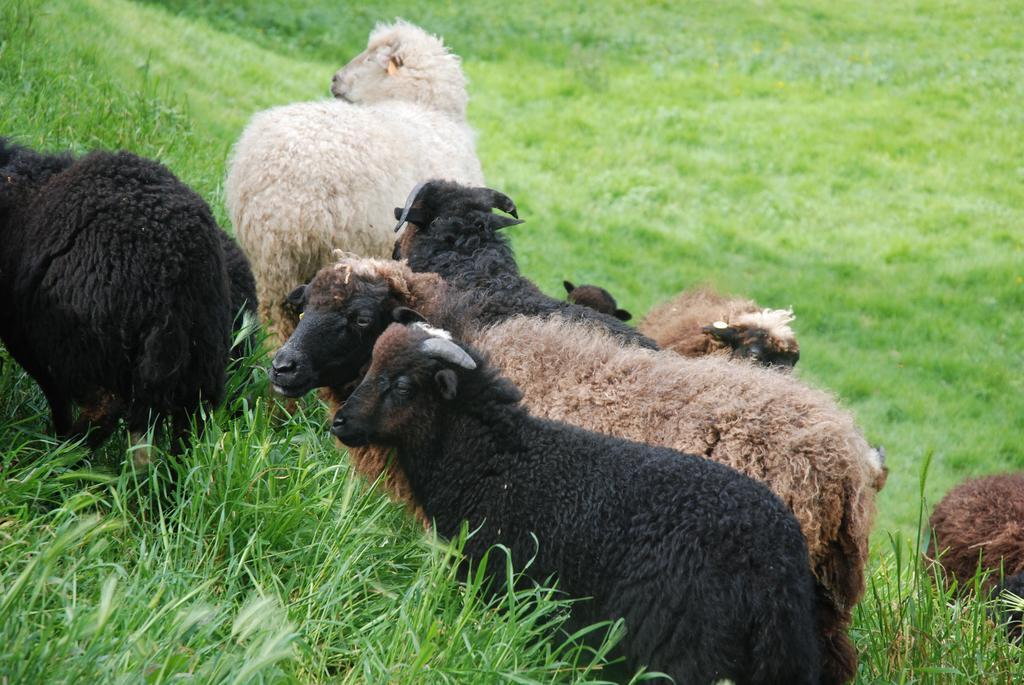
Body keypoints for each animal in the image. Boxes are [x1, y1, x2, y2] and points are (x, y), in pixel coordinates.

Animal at [0, 137, 234, 448]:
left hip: (73, 340)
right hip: (203, 359)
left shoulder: (21, 332)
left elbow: (55, 394)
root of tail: (176, 264)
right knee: (191, 428)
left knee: (104, 405)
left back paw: (67, 451)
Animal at [331, 321, 819, 683]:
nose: (340, 423)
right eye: (370, 364)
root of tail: (776, 559)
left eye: (402, 385)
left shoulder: (499, 577)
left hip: (682, 646)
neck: (495, 461)